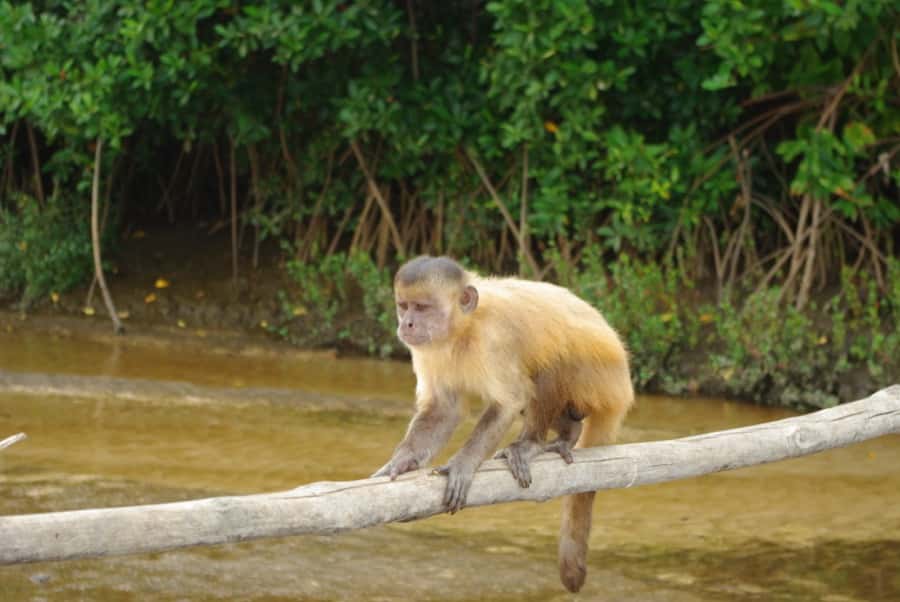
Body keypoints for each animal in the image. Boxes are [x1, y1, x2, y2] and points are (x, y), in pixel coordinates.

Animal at [372, 255, 633, 593]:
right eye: (403, 306)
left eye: (422, 307)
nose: (407, 324)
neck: (464, 327)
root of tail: (624, 389)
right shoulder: (429, 347)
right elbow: (445, 410)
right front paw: (402, 462)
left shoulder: (493, 339)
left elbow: (508, 401)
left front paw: (463, 464)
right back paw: (568, 432)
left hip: (601, 382)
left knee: (548, 362)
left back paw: (534, 443)